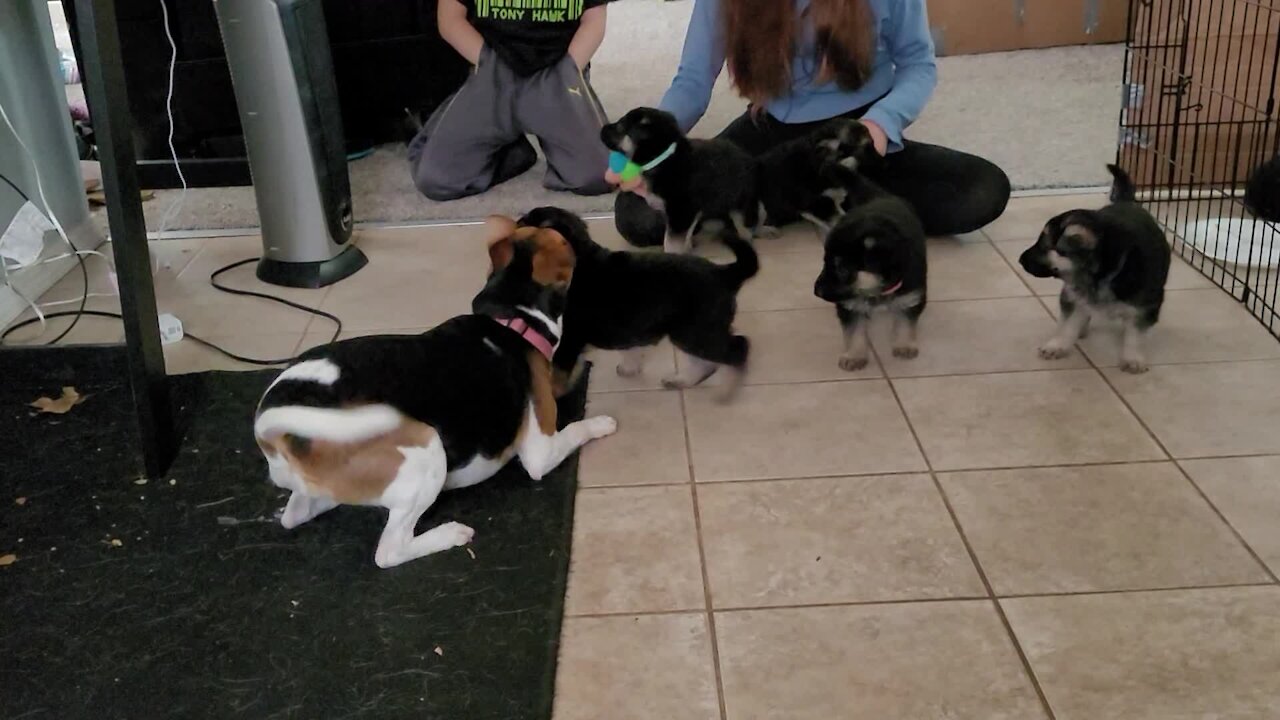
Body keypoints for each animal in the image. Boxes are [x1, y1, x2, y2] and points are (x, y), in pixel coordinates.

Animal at [250, 215, 619, 563]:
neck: (511, 317)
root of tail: (269, 421)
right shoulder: (541, 451)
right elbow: (576, 429)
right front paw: (600, 423)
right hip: (426, 452)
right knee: (389, 551)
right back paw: (447, 534)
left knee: (297, 514)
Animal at [519, 204, 757, 397]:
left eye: (525, 224)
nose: (516, 220)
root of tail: (725, 273)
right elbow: (627, 349)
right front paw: (628, 367)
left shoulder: (571, 337)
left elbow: (558, 373)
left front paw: (554, 397)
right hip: (690, 332)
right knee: (708, 363)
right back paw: (680, 380)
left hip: (695, 331)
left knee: (738, 347)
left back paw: (729, 388)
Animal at [814, 160, 926, 366]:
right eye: (825, 262)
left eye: (842, 268)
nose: (816, 291)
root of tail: (877, 195)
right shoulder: (849, 304)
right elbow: (854, 331)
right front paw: (854, 355)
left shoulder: (910, 293)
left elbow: (906, 321)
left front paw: (904, 345)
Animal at [1018, 163, 1172, 371]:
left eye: (1044, 245)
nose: (1020, 260)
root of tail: (1127, 203)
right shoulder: (1073, 294)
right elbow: (1068, 324)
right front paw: (1057, 345)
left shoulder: (1145, 305)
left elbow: (1135, 334)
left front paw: (1133, 359)